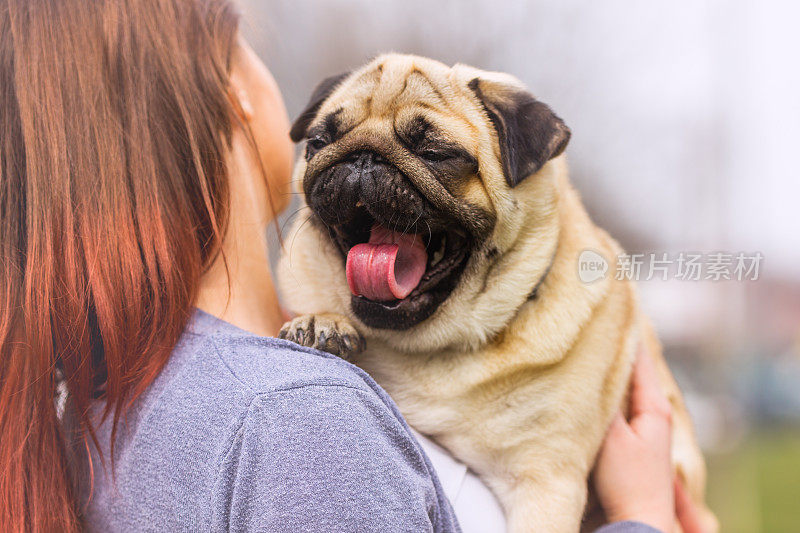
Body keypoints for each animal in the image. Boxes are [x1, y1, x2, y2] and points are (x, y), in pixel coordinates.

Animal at [278, 54, 716, 532]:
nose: (362, 157)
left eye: (435, 154)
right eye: (319, 142)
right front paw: (322, 323)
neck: (427, 352)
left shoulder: (545, 482)